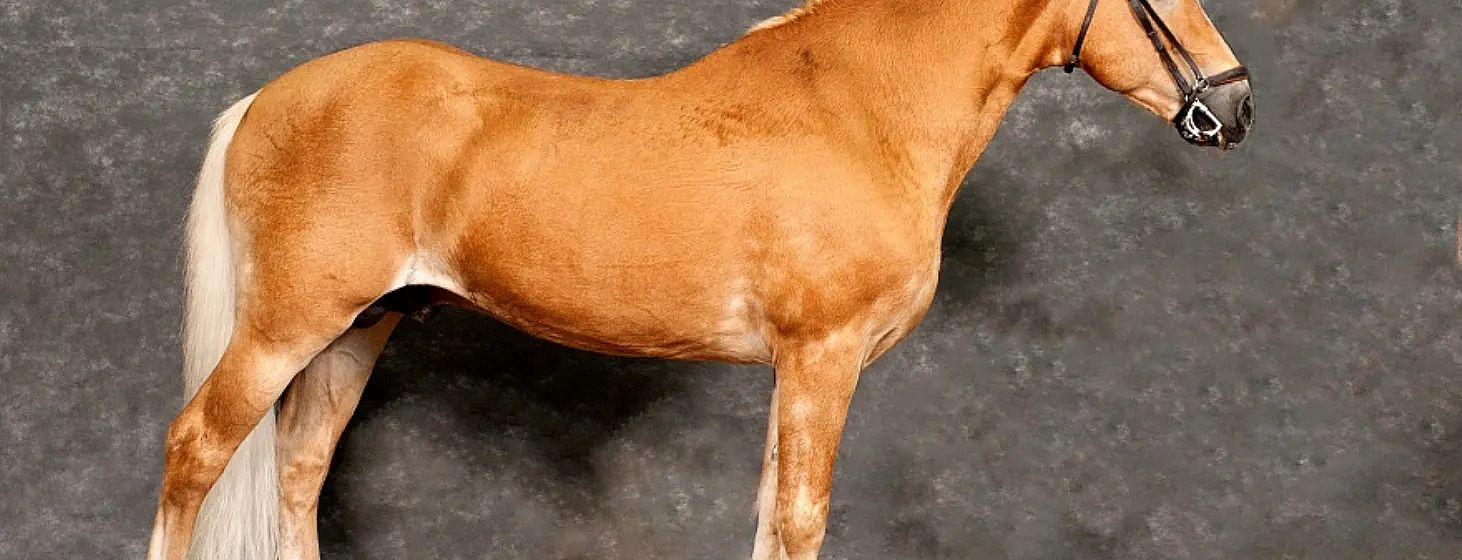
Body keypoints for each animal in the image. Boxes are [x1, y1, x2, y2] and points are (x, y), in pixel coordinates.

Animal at [146, 0, 1252, 558]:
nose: (1235, 109)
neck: (860, 106)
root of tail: (266, 98)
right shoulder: (823, 357)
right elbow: (800, 516)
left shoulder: (796, 370)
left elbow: (770, 511)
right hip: (289, 324)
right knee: (198, 449)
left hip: (360, 327)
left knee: (298, 475)